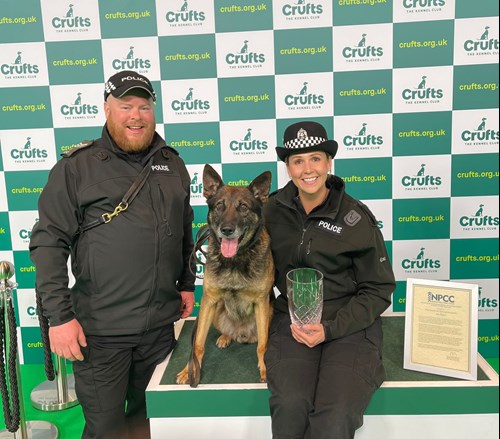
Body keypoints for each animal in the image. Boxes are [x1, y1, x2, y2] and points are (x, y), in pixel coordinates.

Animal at [177, 165, 274, 388]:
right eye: (220, 206)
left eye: (243, 207)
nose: (227, 230)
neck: (235, 260)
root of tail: (242, 334)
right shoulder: (209, 301)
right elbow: (198, 344)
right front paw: (190, 370)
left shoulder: (262, 302)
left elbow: (263, 344)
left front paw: (265, 367)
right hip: (216, 311)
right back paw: (225, 337)